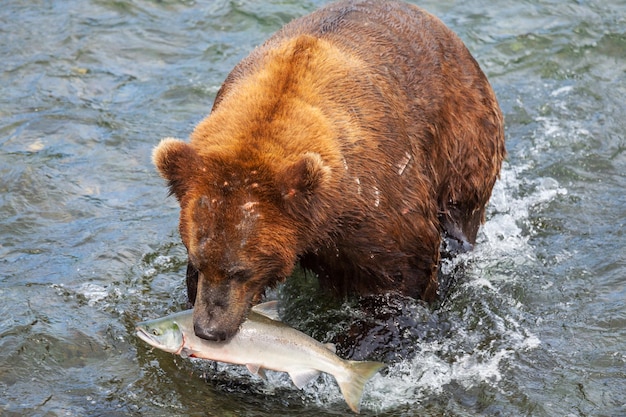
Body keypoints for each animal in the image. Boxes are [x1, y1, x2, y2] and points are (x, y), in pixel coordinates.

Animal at [151, 0, 502, 342]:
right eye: (199, 260)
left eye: (243, 270)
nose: (209, 329)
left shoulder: (378, 204)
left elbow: (399, 283)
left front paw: (371, 336)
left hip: (464, 139)